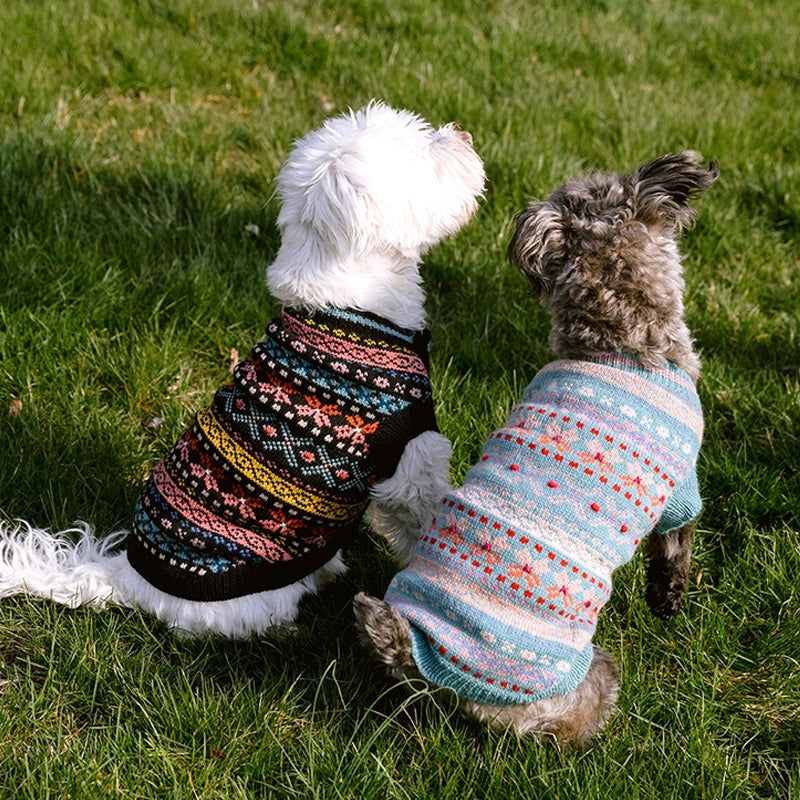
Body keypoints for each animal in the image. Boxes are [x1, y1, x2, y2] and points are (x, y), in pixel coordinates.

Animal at [0, 101, 488, 636]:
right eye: (423, 154)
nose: (464, 135)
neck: (350, 312)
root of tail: (127, 577)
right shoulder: (410, 461)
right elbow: (425, 518)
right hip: (259, 596)